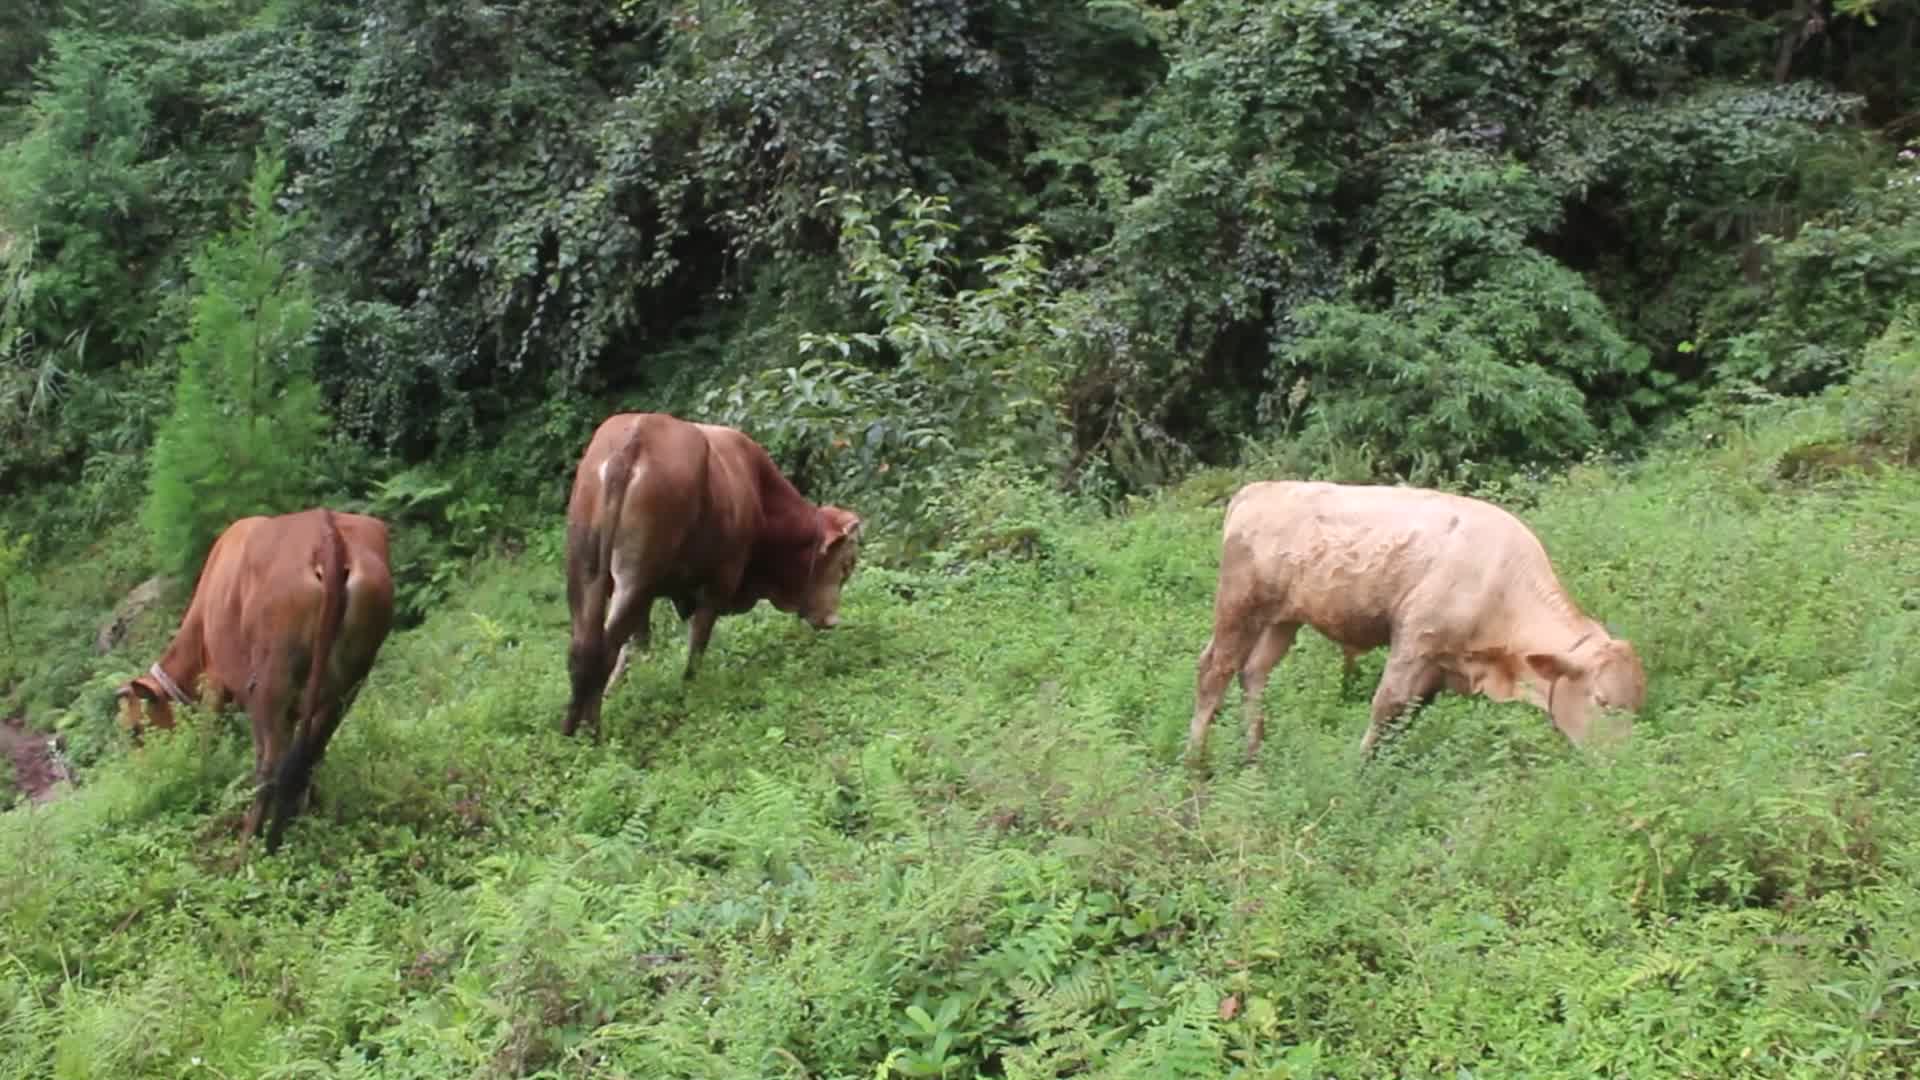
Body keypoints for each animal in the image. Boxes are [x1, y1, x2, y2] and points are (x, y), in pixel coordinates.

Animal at [116, 503, 393, 849]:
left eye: (136, 731)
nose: (144, 776)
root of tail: (327, 532)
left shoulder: (217, 684)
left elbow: (210, 739)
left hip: (271, 681)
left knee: (271, 767)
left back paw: (251, 844)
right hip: (348, 682)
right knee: (307, 756)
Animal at [560, 409, 864, 730]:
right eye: (846, 565)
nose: (833, 620)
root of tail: (636, 435)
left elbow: (637, 646)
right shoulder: (718, 585)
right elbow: (695, 647)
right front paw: (688, 691)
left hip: (587, 571)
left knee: (584, 649)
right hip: (636, 579)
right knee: (603, 650)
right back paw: (592, 729)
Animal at [1182, 474, 1651, 760]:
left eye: (1635, 705)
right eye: (1602, 701)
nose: (1624, 761)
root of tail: (1261, 489)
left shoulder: (1439, 667)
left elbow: (1405, 718)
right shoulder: (1413, 643)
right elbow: (1385, 707)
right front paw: (1358, 772)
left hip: (1282, 619)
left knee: (1254, 672)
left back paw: (1252, 754)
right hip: (1239, 607)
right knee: (1214, 670)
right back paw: (1195, 763)